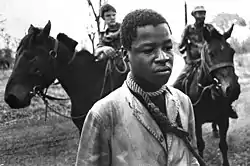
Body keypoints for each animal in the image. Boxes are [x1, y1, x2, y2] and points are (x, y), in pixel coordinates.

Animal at [174, 25, 240, 166]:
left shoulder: (223, 119)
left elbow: (223, 145)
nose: (233, 89)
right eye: (211, 53)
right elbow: (200, 145)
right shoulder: (197, 122)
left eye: (232, 52)